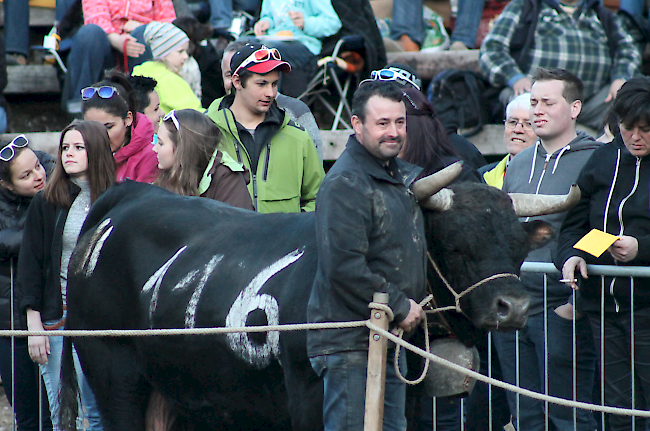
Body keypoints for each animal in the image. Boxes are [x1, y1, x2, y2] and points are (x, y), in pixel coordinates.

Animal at [58, 178, 576, 431]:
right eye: (456, 245)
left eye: (519, 247)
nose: (514, 306)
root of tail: (128, 195)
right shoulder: (308, 395)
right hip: (113, 370)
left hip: (185, 390)